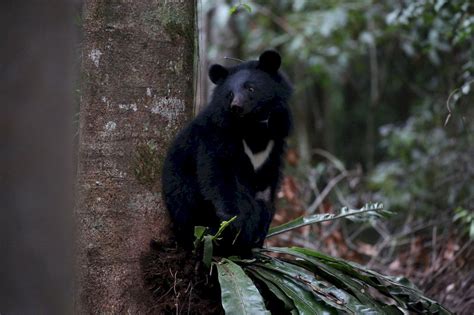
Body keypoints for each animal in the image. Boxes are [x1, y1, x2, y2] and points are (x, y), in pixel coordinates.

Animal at [161, 50, 290, 256]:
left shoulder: (275, 145)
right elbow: (218, 174)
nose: (236, 107)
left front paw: (261, 229)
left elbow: (267, 187)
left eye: (251, 88)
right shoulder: (216, 136)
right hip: (194, 212)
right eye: (229, 94)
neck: (254, 130)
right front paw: (233, 222)